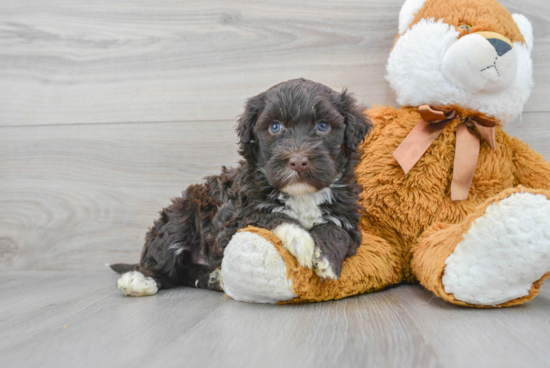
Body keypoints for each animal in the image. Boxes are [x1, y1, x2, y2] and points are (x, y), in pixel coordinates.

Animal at [110, 79, 374, 298]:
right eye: (275, 127)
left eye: (323, 126)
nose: (298, 161)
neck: (301, 195)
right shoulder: (232, 222)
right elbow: (268, 214)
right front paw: (300, 238)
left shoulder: (347, 218)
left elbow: (337, 231)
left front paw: (327, 258)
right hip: (180, 217)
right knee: (164, 261)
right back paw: (140, 280)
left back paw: (215, 277)